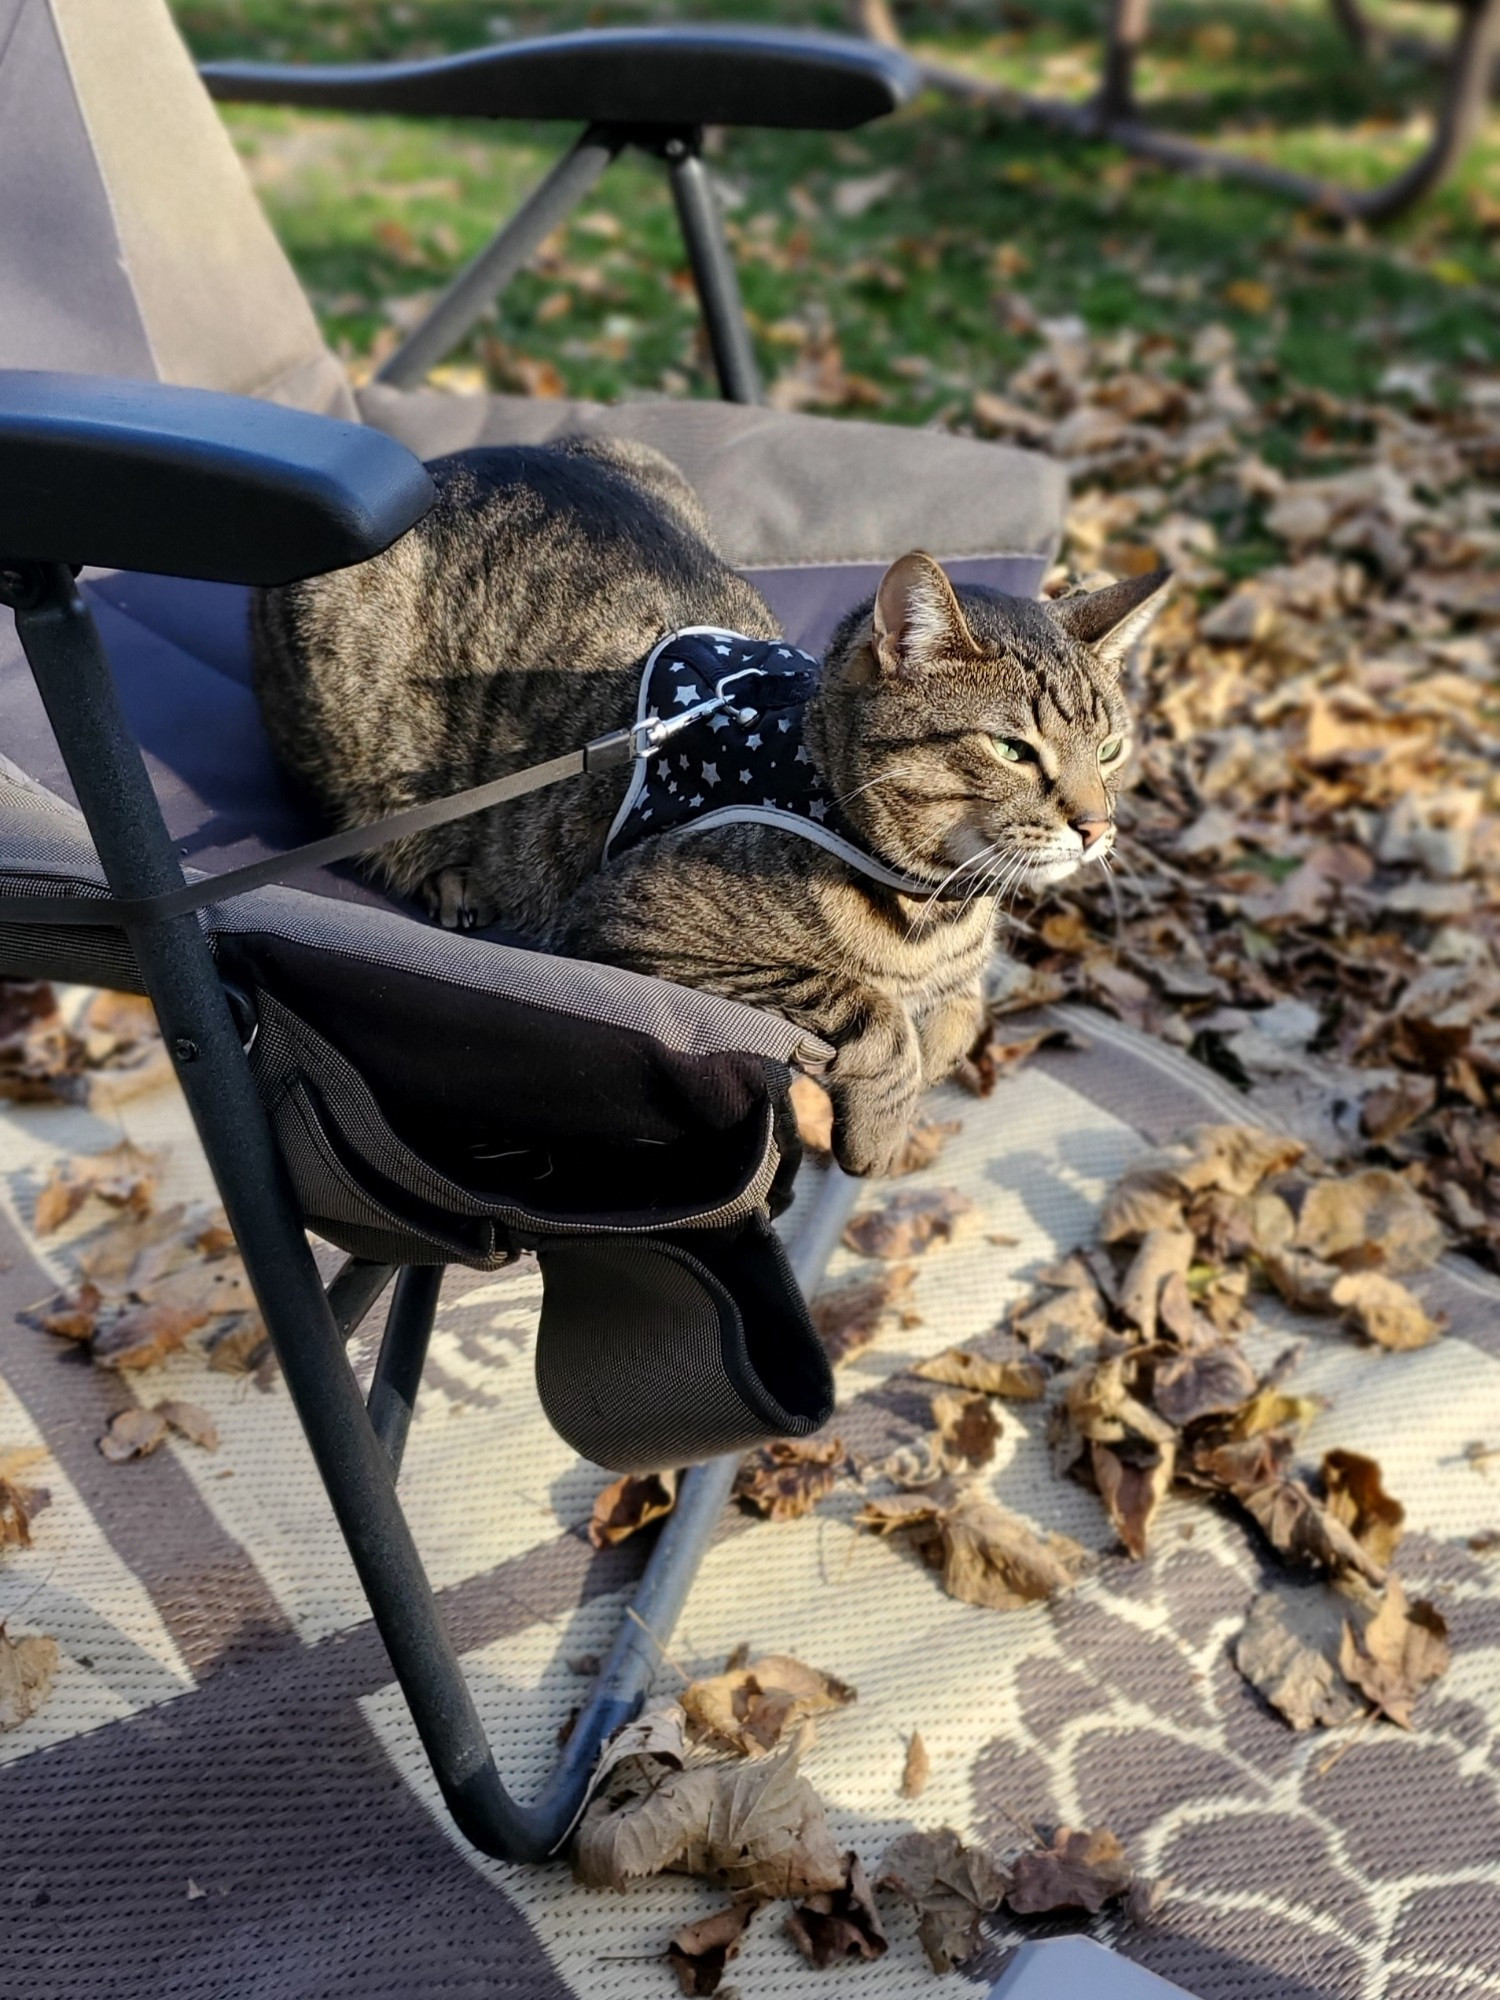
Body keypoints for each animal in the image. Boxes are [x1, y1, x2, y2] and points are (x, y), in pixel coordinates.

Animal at [253, 442, 1168, 1168]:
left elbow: (961, 1015)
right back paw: (450, 877)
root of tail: (439, 467)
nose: (1096, 827)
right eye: (1014, 750)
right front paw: (880, 1126)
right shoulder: (625, 926)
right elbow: (873, 1013)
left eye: (1111, 750)